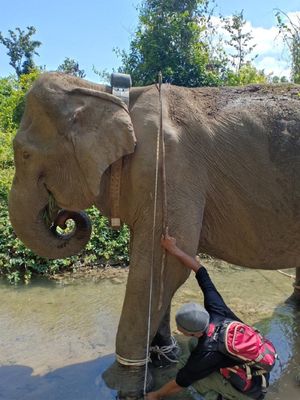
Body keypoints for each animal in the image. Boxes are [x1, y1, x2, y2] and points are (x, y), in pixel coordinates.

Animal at [8, 74, 300, 396]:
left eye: (25, 154)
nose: (63, 217)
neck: (110, 93)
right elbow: (157, 264)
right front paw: (164, 357)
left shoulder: (170, 168)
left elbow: (163, 267)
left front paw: (118, 384)